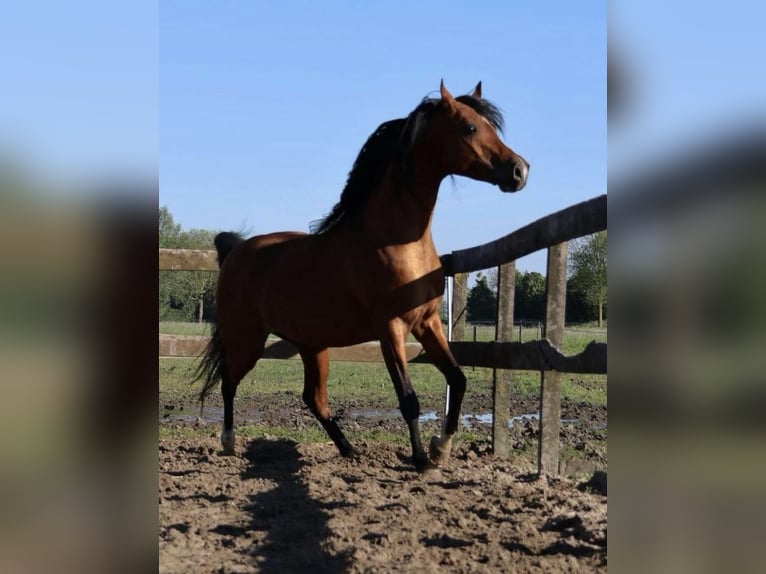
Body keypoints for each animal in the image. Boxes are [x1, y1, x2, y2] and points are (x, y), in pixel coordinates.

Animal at [195, 81, 532, 470]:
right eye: (470, 127)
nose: (520, 170)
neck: (394, 241)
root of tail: (236, 250)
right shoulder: (391, 329)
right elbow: (408, 399)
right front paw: (421, 459)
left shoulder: (427, 322)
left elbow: (457, 379)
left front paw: (440, 447)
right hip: (246, 339)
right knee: (229, 381)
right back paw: (229, 442)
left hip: (311, 344)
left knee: (313, 398)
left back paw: (349, 449)